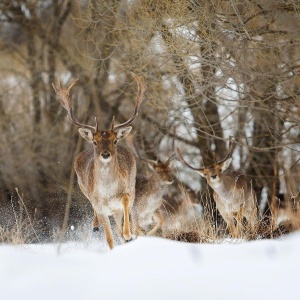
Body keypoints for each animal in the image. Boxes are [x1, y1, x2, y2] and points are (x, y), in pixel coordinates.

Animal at [52, 72, 146, 248]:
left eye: (114, 141)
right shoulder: (100, 207)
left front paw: (128, 234)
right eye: (95, 142)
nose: (105, 154)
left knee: (122, 221)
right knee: (98, 213)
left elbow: (124, 203)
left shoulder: (126, 193)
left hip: (129, 192)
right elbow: (109, 239)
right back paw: (95, 225)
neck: (108, 193)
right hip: (85, 189)